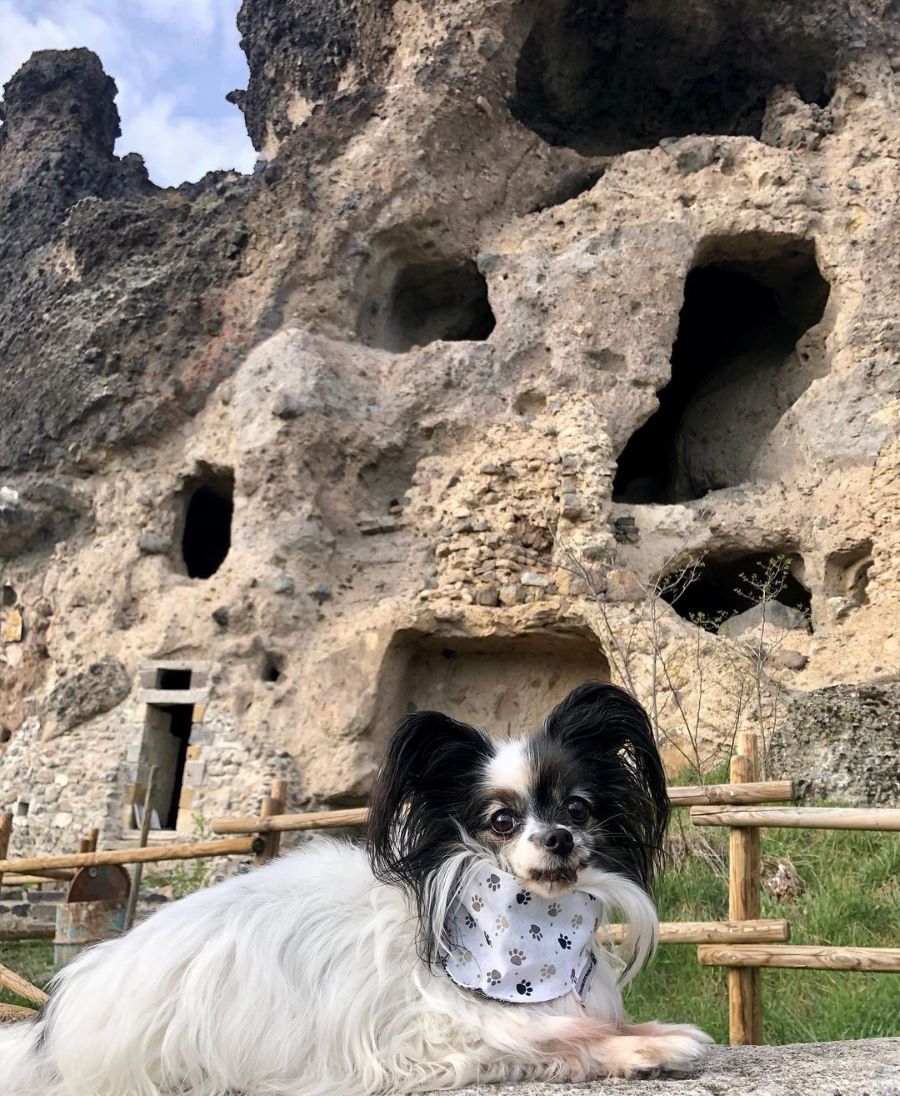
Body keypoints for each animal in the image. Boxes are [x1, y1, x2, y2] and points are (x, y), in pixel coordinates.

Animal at [0, 683, 714, 1096]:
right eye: (501, 822)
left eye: (578, 809)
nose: (559, 840)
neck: (533, 926)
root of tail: (52, 1027)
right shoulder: (448, 1037)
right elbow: (566, 1038)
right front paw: (652, 1047)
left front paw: (654, 1029)